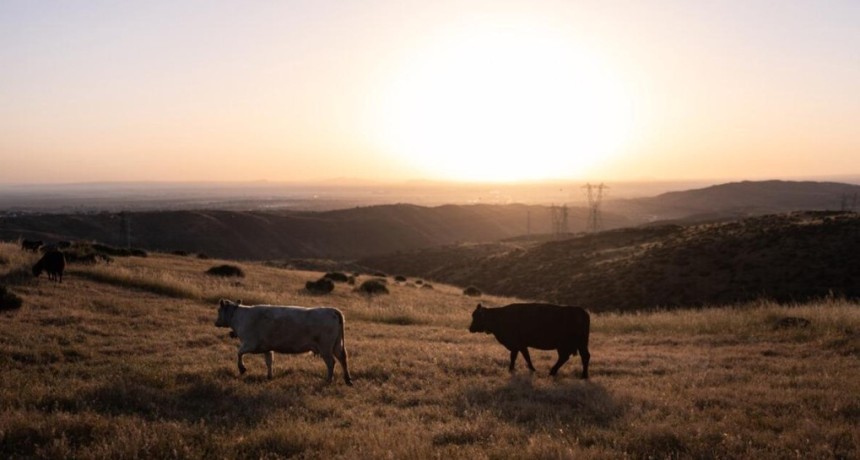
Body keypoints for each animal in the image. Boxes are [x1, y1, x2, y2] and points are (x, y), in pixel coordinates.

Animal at [215, 299, 352, 385]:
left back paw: (329, 380)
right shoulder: (267, 347)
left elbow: (239, 353)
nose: (215, 322)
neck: (239, 316)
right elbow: (269, 362)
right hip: (337, 345)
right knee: (343, 359)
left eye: (218, 310)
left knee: (331, 362)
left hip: (325, 348)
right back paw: (348, 380)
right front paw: (269, 376)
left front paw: (242, 368)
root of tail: (332, 310)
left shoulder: (250, 344)